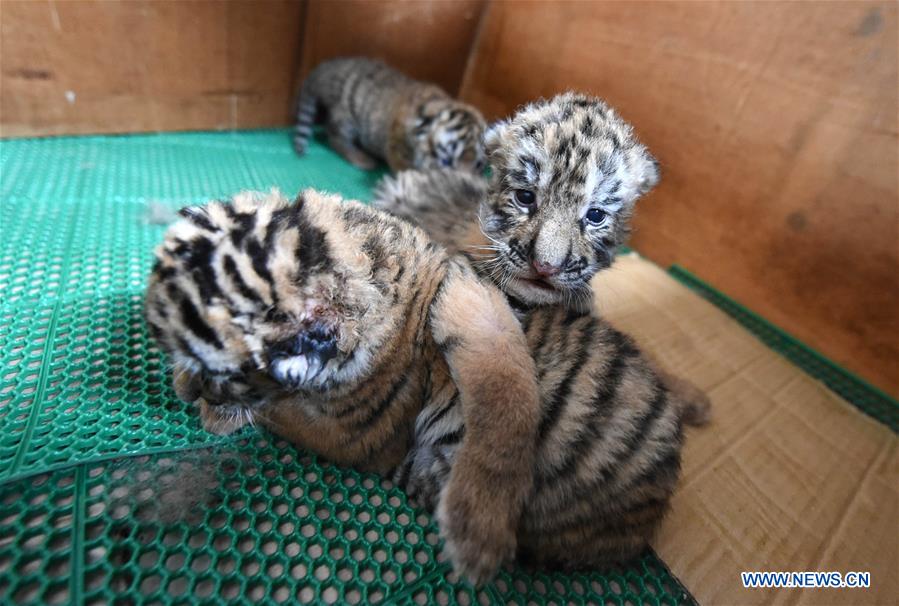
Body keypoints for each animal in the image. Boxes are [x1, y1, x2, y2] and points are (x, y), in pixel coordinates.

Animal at [292, 57, 486, 173]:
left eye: (478, 166)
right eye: (446, 161)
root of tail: (327, 68)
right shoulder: (396, 145)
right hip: (345, 117)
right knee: (334, 137)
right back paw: (361, 159)